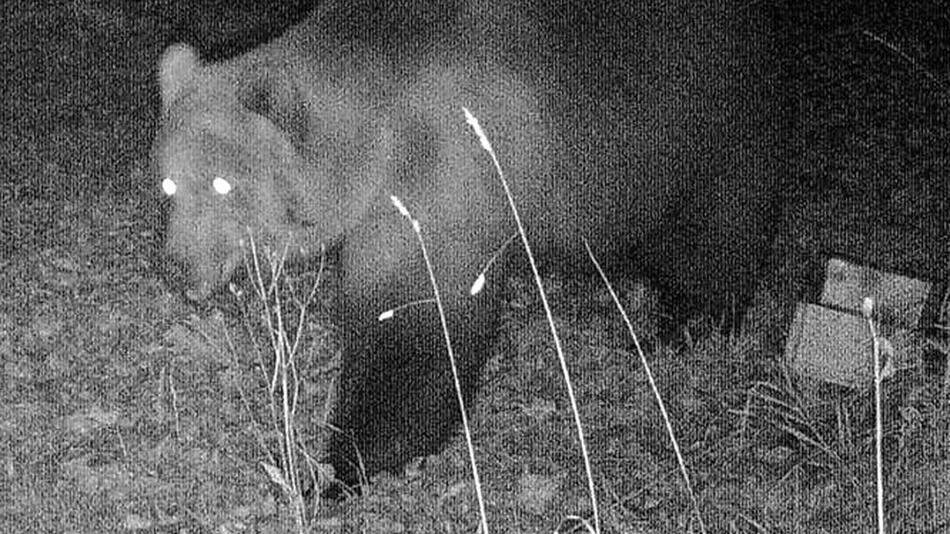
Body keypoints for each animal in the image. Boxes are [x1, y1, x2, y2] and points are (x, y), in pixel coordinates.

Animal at [152, 0, 780, 496]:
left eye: (223, 185)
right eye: (168, 184)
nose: (178, 268)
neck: (374, 142)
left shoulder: (444, 178)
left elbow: (414, 329)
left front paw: (342, 466)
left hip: (704, 128)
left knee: (716, 230)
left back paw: (682, 323)